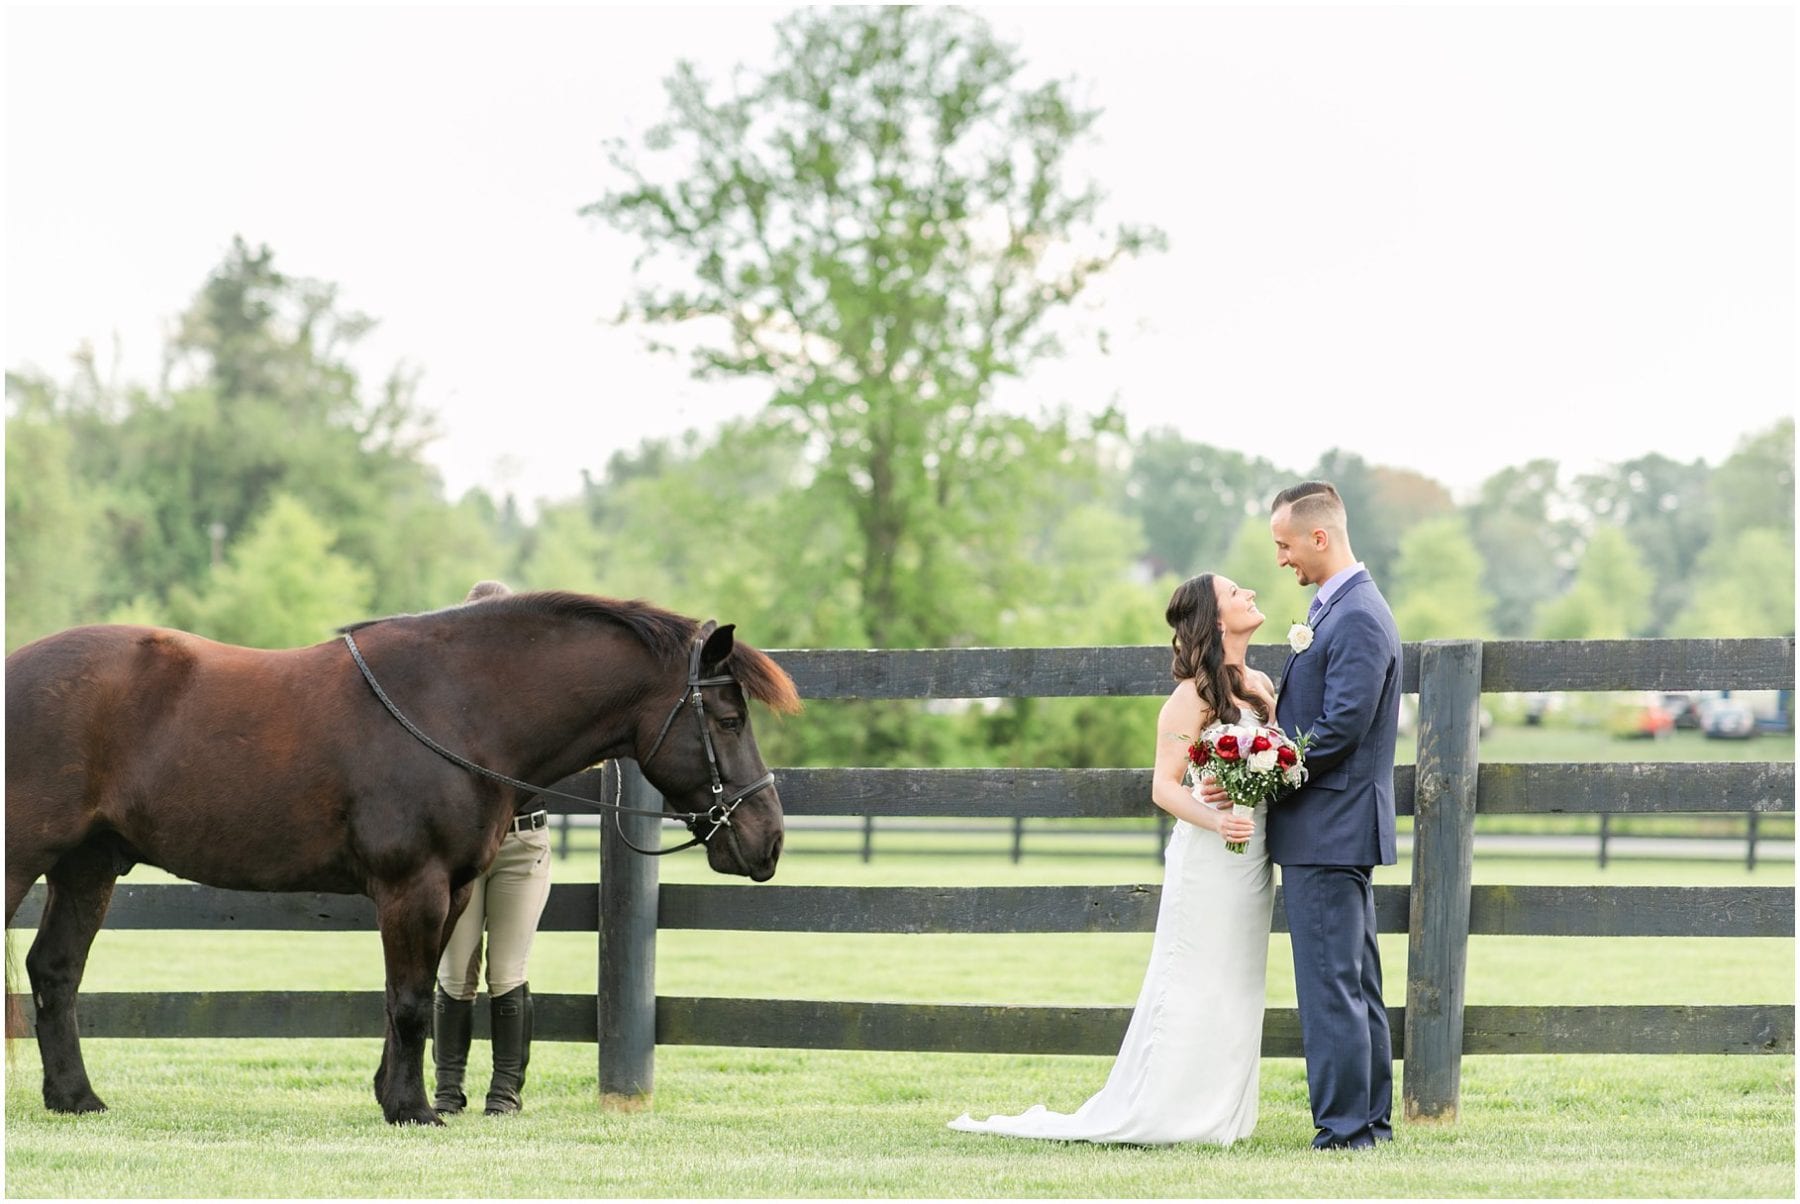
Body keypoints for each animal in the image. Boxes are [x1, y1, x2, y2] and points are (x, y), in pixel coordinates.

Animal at [3, 586, 795, 1123]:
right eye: (728, 718)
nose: (769, 840)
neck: (458, 706)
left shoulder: (449, 891)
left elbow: (406, 999)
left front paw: (394, 1096)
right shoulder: (412, 886)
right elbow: (412, 1003)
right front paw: (414, 1109)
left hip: (88, 867)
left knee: (55, 972)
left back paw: (75, 1098)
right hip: (23, 861)